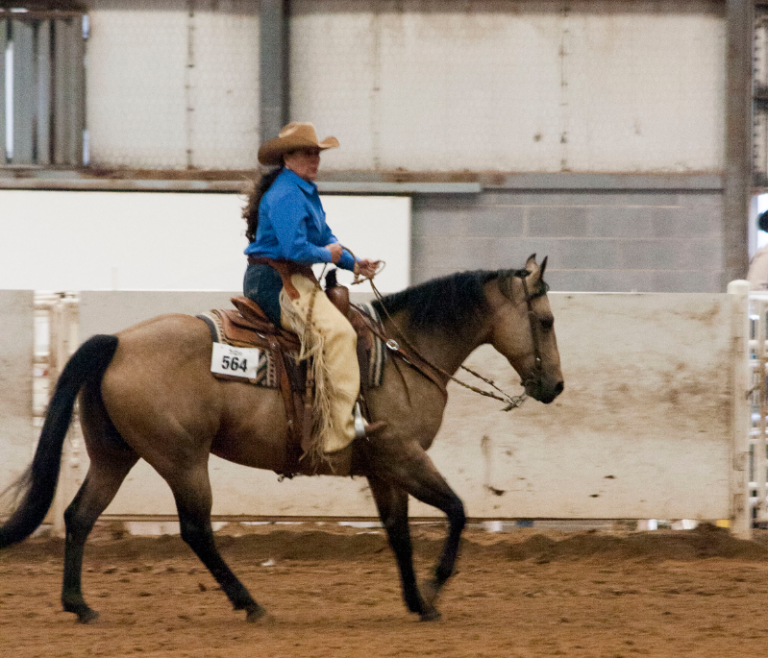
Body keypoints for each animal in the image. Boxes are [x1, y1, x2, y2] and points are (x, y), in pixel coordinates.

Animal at [0, 255, 563, 623]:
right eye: (546, 319)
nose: (555, 386)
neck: (403, 352)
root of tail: (116, 342)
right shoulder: (404, 454)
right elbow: (457, 510)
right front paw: (433, 588)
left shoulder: (384, 467)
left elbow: (399, 532)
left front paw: (417, 602)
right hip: (183, 460)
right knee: (195, 530)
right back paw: (250, 604)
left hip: (114, 455)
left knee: (79, 516)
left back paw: (80, 605)